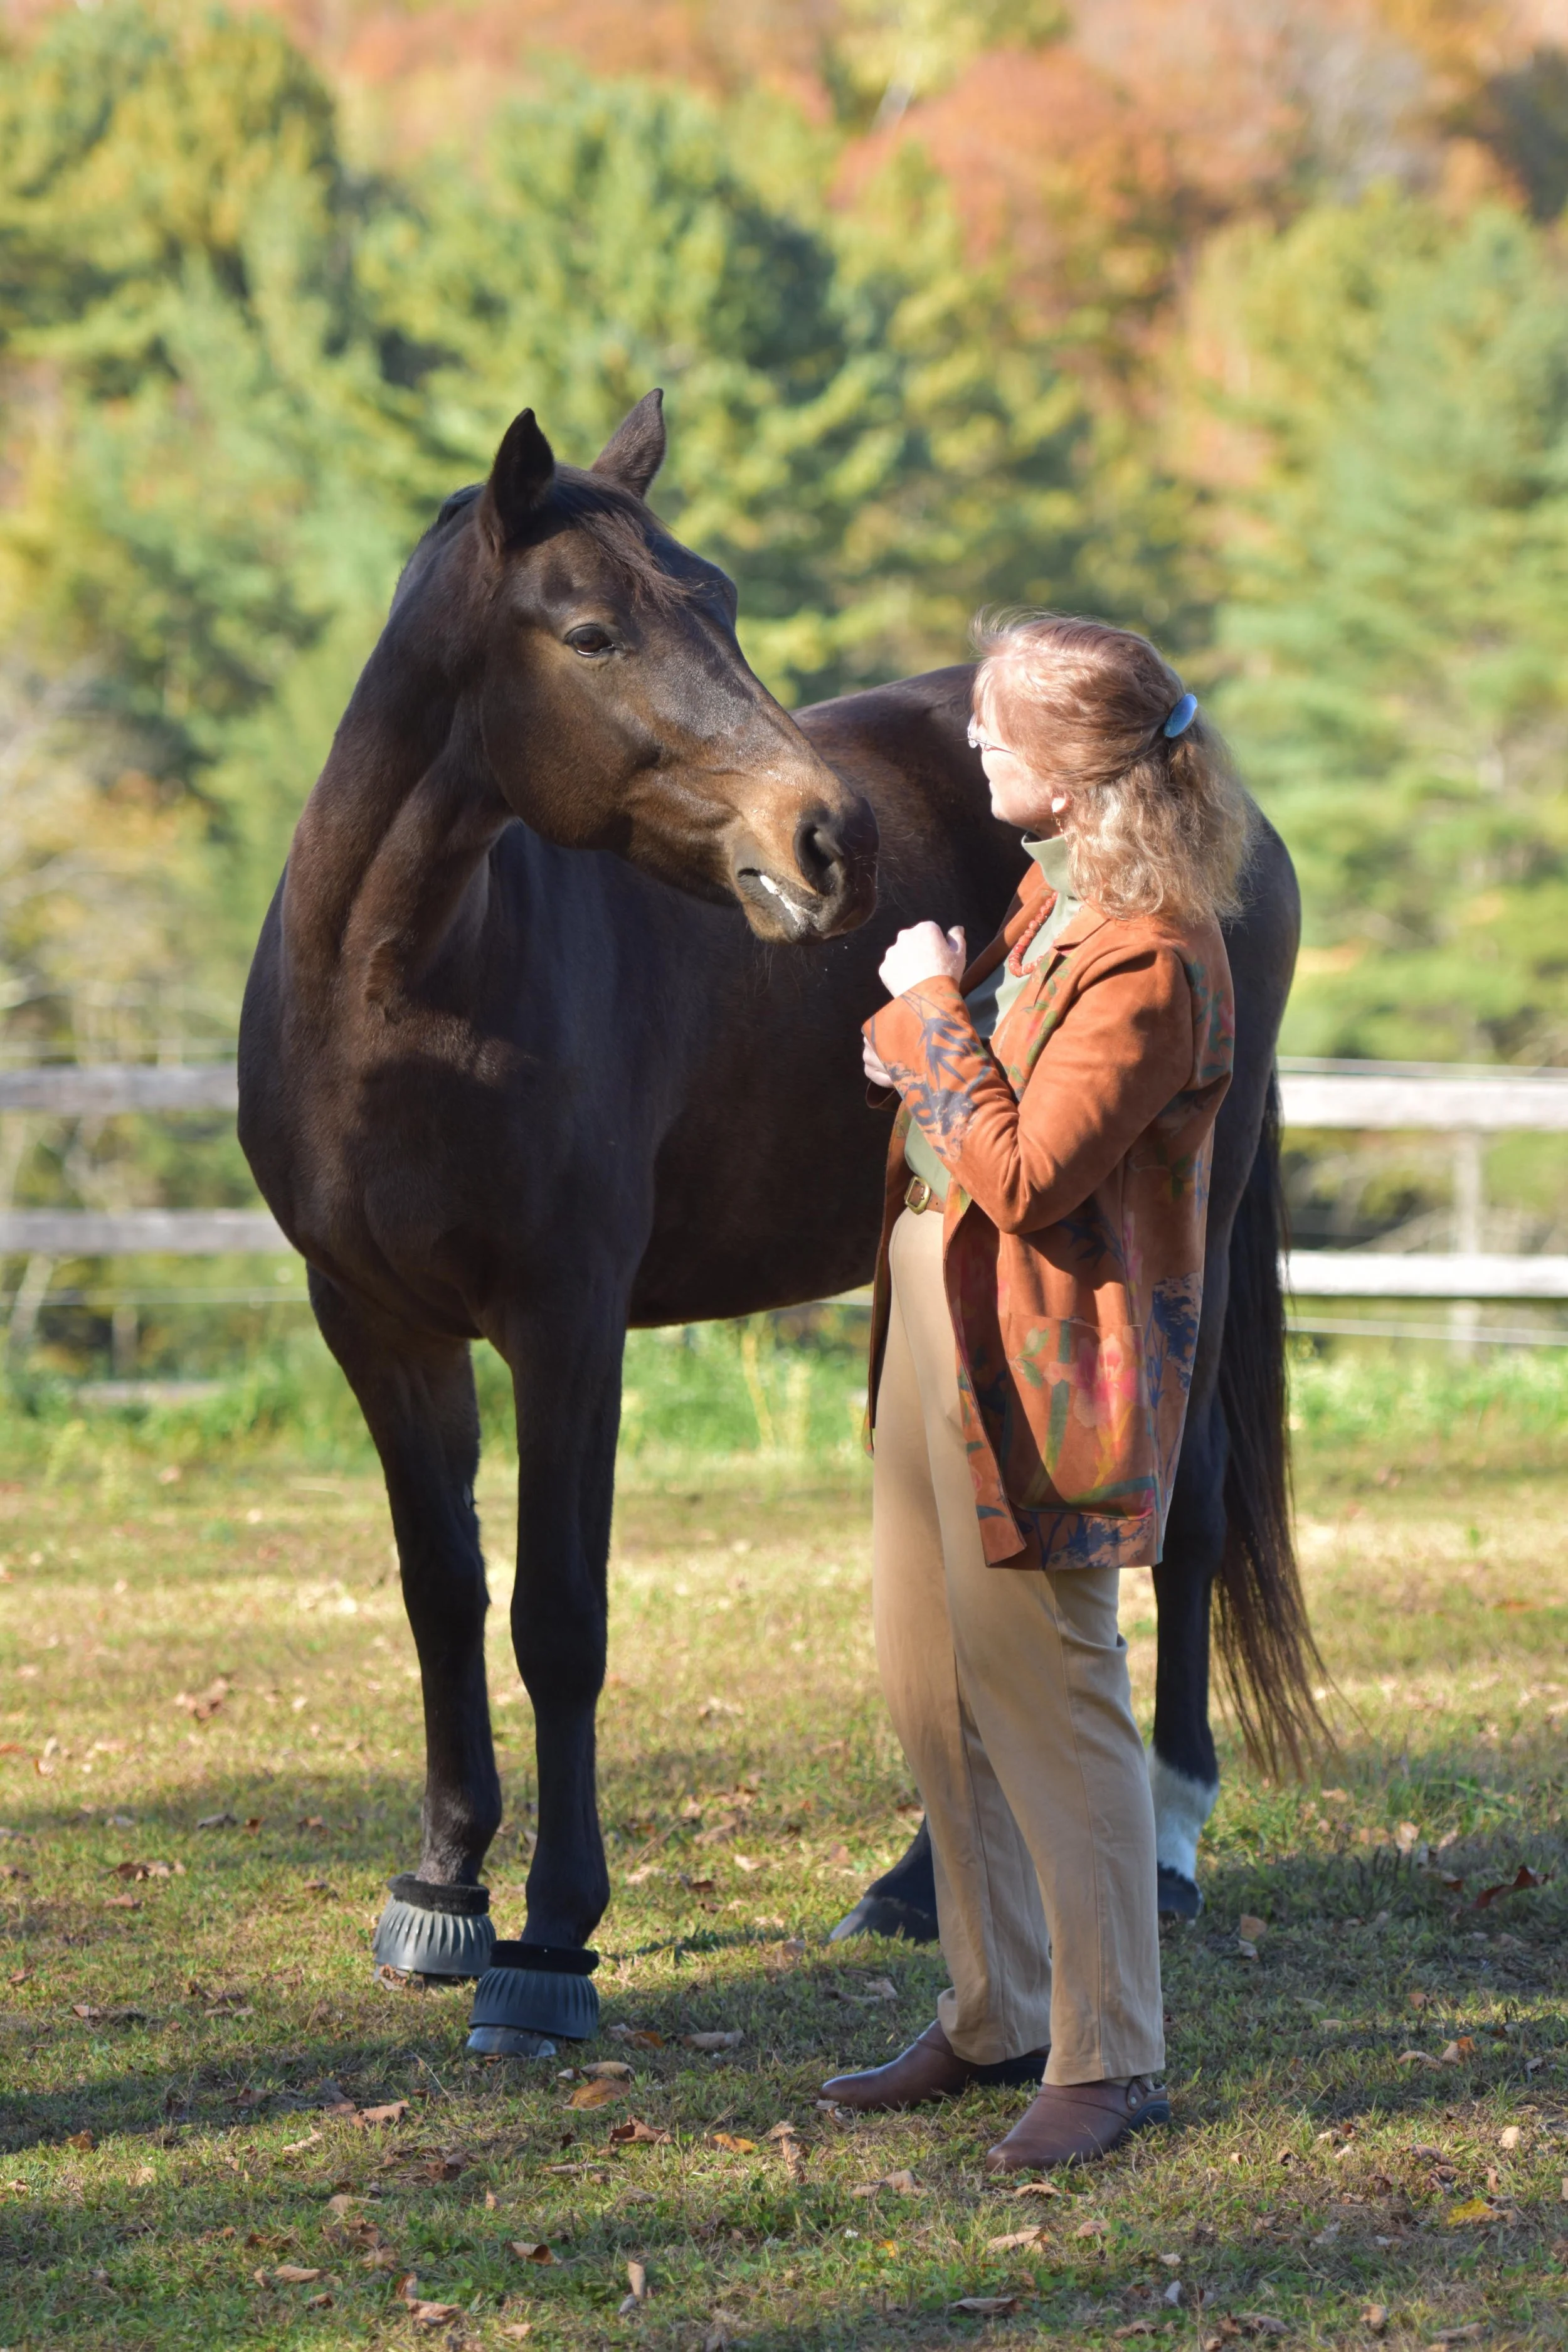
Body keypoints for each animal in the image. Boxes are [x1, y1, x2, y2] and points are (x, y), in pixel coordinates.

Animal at [239, 391, 1314, 2054]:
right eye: (590, 630)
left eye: (723, 602)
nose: (831, 842)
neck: (400, 996)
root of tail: (1228, 810)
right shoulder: (374, 1323)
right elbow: (441, 1594)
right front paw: (442, 1891)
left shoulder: (567, 1324)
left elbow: (557, 1615)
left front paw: (550, 1945)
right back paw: (913, 1886)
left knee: (1176, 1517)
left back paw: (1166, 1844)